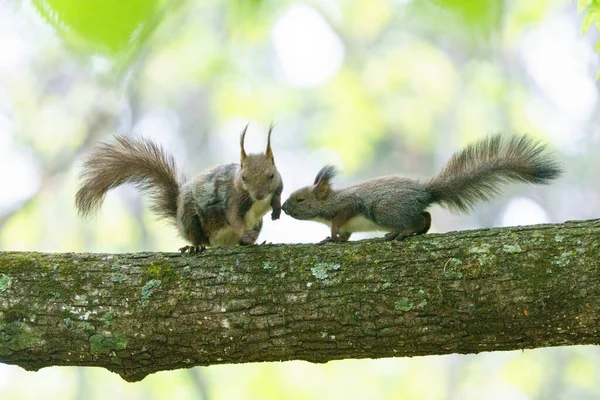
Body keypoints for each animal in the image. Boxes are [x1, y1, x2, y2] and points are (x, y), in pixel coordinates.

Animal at [75, 124, 284, 253]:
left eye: (271, 175)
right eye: (243, 178)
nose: (259, 195)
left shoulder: (277, 188)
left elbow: (277, 198)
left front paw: (276, 210)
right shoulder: (233, 199)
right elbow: (234, 218)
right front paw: (246, 231)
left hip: (256, 224)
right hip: (191, 219)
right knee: (199, 239)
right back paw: (195, 247)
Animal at [282, 133, 564, 242]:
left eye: (300, 200)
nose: (283, 208)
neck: (327, 204)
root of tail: (424, 193)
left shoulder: (348, 205)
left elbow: (339, 222)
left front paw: (331, 235)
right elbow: (346, 234)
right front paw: (335, 239)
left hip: (384, 210)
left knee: (417, 218)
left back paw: (404, 232)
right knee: (426, 216)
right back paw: (417, 231)